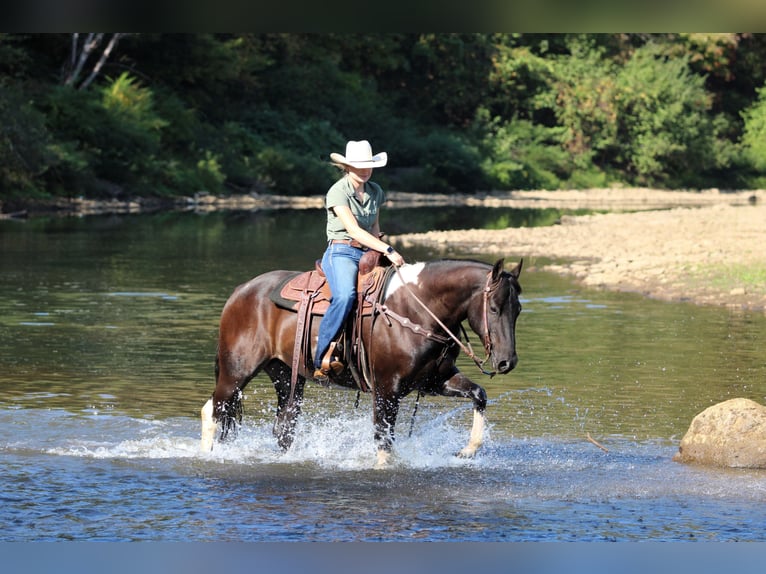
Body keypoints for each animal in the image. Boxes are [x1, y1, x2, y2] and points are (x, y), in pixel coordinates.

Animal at [200, 257, 523, 467]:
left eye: (517, 309)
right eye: (494, 308)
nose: (507, 362)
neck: (417, 309)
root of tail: (241, 290)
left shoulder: (434, 380)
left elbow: (479, 394)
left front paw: (467, 451)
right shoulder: (386, 389)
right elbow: (383, 438)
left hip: (285, 375)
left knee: (284, 427)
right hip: (237, 371)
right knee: (214, 409)